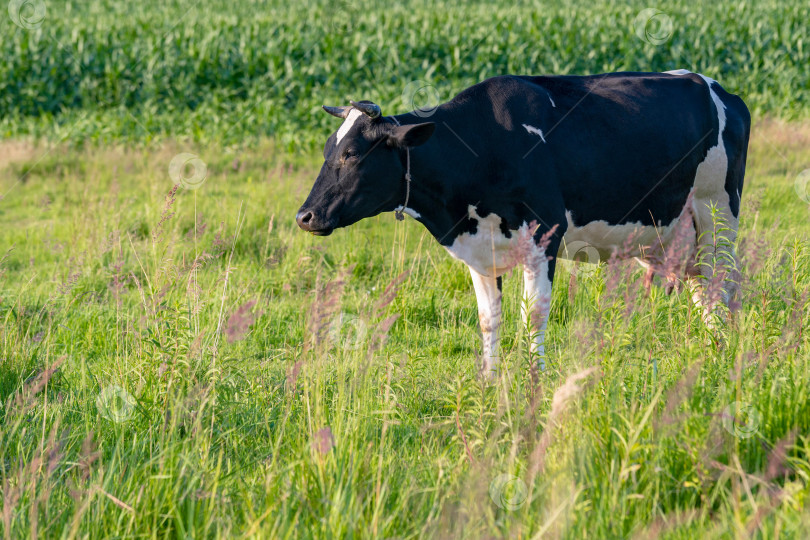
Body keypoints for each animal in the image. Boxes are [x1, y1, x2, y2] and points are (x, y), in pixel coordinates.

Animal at [296, 69, 752, 378]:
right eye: (327, 149)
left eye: (353, 153)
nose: (305, 216)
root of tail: (721, 90)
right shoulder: (479, 249)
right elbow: (489, 317)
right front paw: (489, 381)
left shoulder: (544, 236)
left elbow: (533, 312)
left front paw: (536, 378)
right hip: (681, 236)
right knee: (704, 294)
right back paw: (710, 351)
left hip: (717, 215)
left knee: (722, 287)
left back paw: (722, 354)